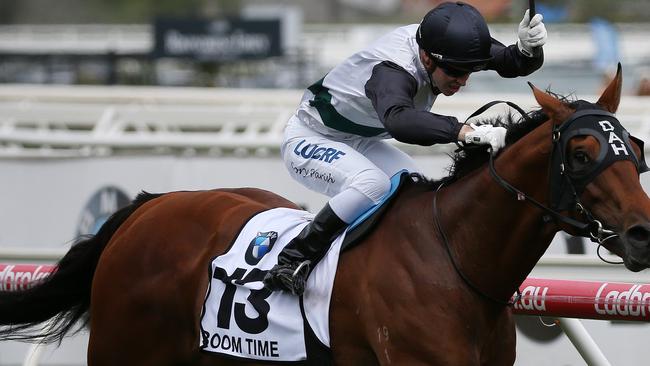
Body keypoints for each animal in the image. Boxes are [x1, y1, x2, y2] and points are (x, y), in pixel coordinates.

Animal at [1, 64, 648, 364]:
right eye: (582, 153)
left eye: (636, 148)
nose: (642, 235)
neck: (455, 259)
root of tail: (148, 207)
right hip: (124, 349)